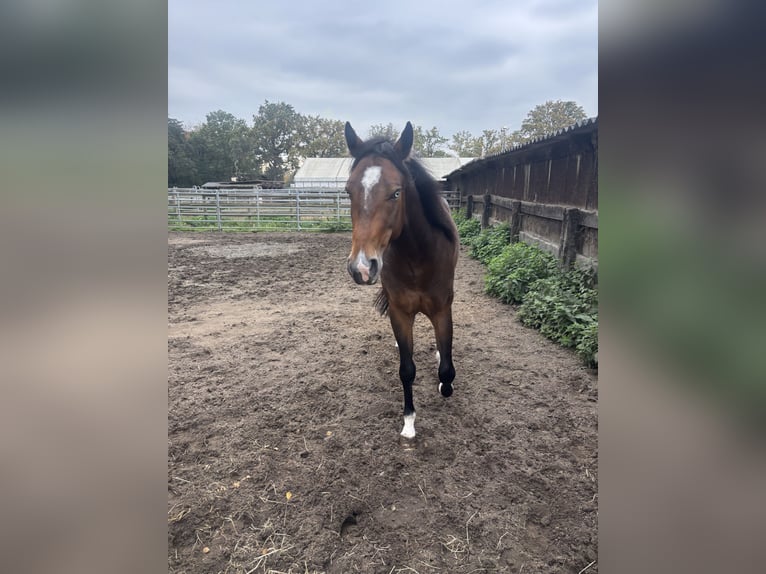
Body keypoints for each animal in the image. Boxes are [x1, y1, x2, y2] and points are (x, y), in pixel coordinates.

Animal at [343, 121, 459, 446]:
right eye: (348, 192)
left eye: (396, 193)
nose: (361, 267)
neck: (418, 256)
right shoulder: (400, 311)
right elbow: (406, 370)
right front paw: (409, 420)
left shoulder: (442, 309)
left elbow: (446, 370)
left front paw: (445, 385)